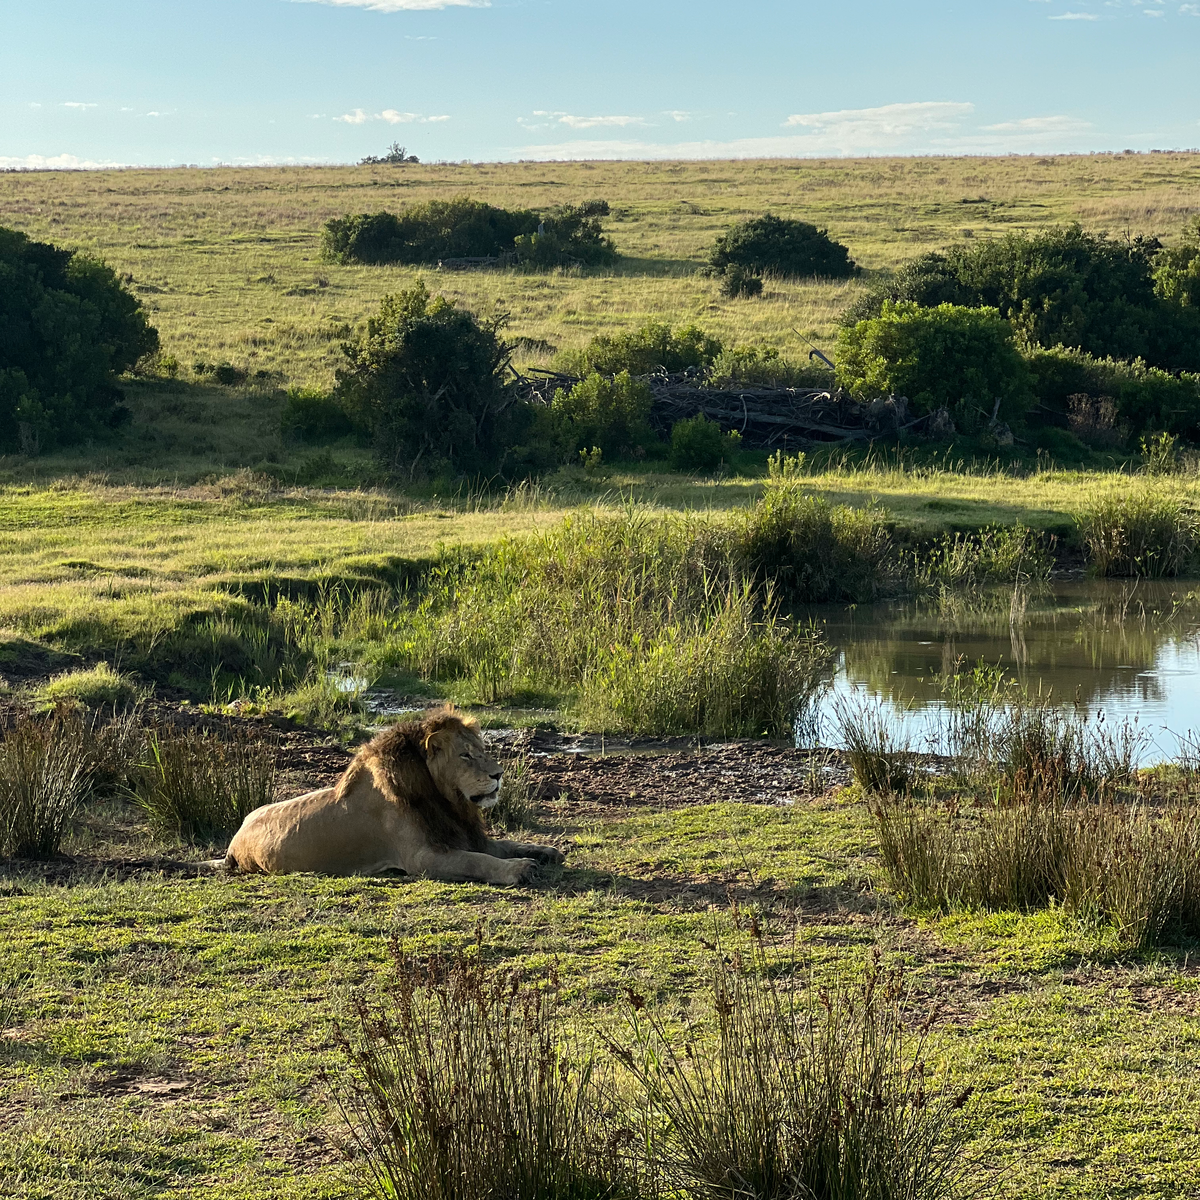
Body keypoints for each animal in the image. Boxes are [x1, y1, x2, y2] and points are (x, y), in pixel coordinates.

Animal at [216, 707, 565, 884]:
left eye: (482, 750)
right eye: (465, 755)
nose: (499, 774)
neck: (446, 803)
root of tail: (232, 844)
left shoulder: (463, 834)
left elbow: (507, 844)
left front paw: (545, 852)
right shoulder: (423, 857)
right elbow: (477, 861)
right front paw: (519, 869)